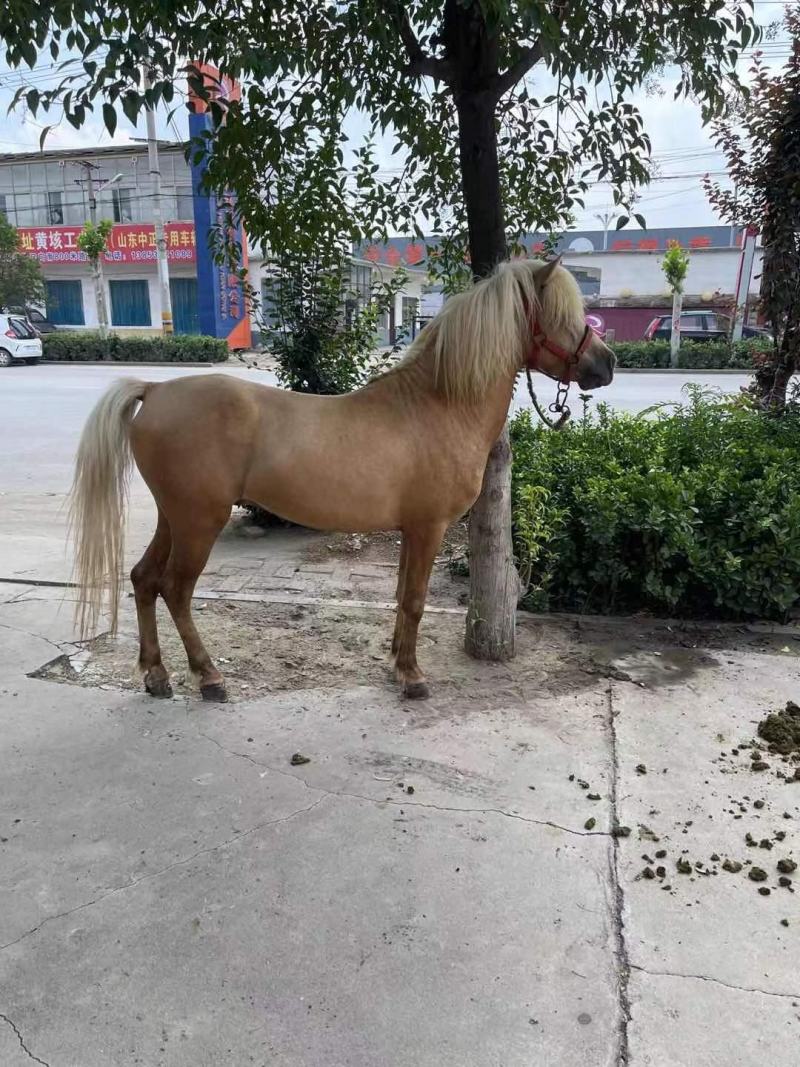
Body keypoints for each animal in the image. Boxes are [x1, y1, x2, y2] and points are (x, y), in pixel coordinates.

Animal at [69, 257, 615, 703]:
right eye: (563, 314)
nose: (606, 363)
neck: (437, 407)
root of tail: (155, 390)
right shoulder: (429, 527)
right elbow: (415, 600)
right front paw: (413, 677)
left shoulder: (411, 531)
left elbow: (402, 596)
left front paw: (396, 662)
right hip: (200, 522)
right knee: (175, 591)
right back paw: (209, 679)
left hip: (175, 517)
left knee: (143, 580)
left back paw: (156, 675)